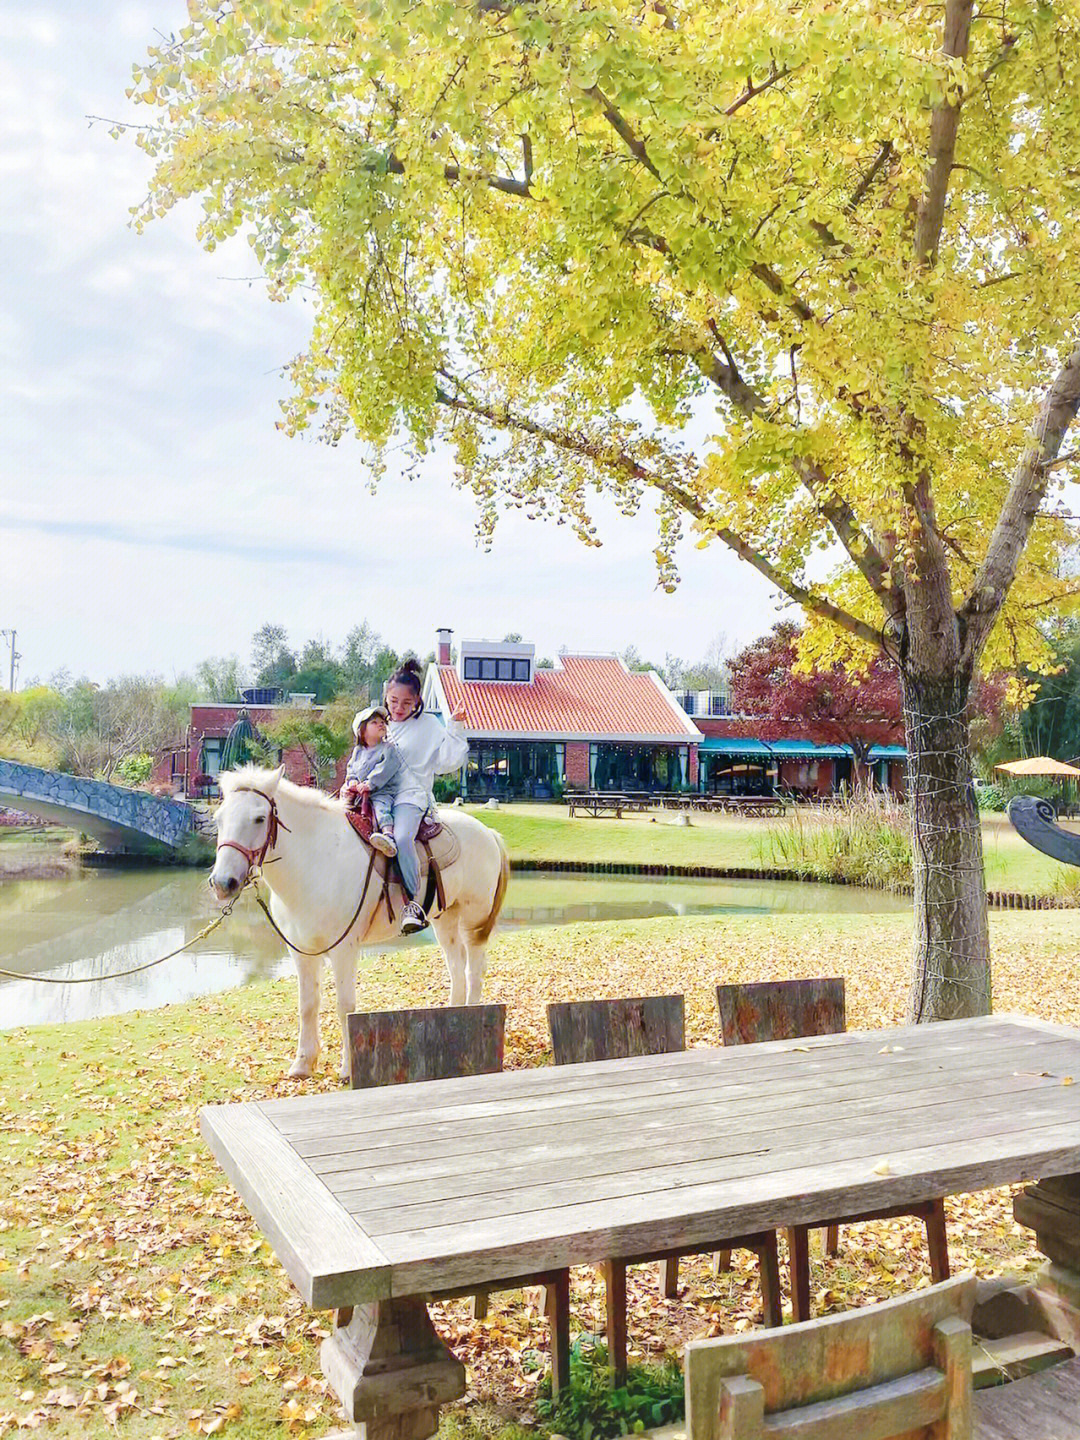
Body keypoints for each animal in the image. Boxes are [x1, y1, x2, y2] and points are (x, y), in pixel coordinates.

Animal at [214, 766, 512, 1082]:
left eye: (259, 818)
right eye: (218, 818)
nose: (222, 883)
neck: (315, 860)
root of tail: (488, 833)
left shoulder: (343, 950)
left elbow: (345, 1005)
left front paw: (347, 1068)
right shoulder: (302, 952)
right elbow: (308, 1004)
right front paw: (303, 1063)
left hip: (473, 922)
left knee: (473, 972)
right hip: (445, 921)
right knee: (457, 971)